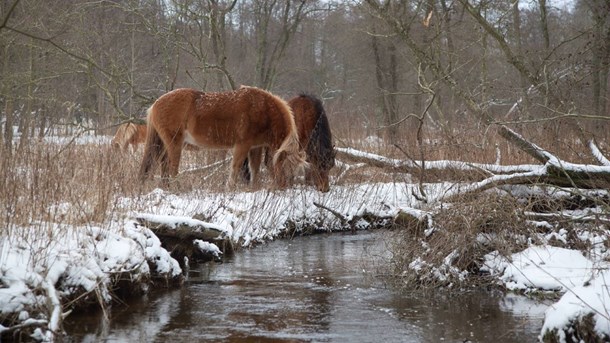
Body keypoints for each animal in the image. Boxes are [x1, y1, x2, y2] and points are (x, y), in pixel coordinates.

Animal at [140, 86, 306, 188]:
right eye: (285, 164)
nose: (285, 186)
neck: (262, 109)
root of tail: (155, 104)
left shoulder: (255, 147)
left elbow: (255, 169)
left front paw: (254, 188)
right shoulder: (242, 145)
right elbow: (236, 167)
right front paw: (230, 188)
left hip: (163, 144)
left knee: (163, 165)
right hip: (174, 143)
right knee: (172, 167)